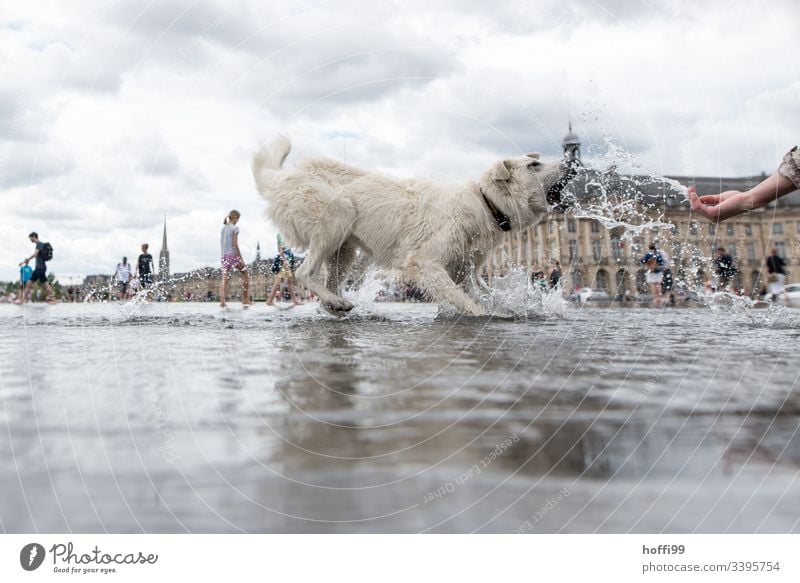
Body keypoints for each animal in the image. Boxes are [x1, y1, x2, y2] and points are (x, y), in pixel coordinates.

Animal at [253, 137, 572, 318]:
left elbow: (475, 292)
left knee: (325, 282)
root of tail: (280, 178)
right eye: (533, 166)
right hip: (337, 215)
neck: (485, 203)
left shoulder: (464, 270)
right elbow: (465, 301)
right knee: (303, 272)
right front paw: (487, 315)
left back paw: (336, 305)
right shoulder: (426, 262)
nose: (570, 164)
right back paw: (335, 302)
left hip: (343, 250)